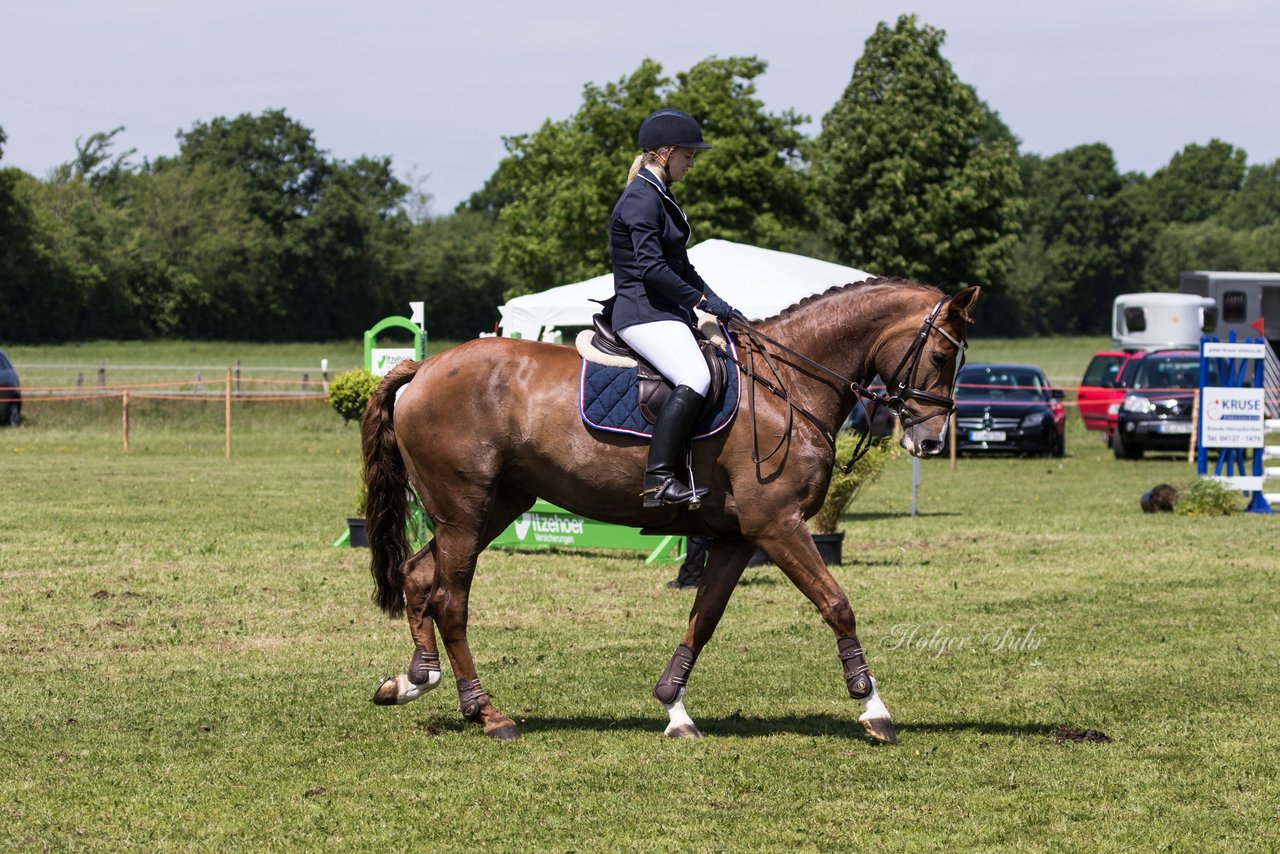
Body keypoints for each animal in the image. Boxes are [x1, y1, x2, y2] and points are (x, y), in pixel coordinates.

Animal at [360, 279, 977, 742]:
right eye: (943, 354)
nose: (928, 441)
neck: (788, 385)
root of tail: (424, 369)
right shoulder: (778, 525)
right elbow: (837, 605)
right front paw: (874, 710)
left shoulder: (738, 537)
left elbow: (704, 618)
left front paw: (673, 709)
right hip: (465, 512)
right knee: (451, 600)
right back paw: (487, 713)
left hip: (493, 507)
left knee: (419, 575)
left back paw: (413, 680)